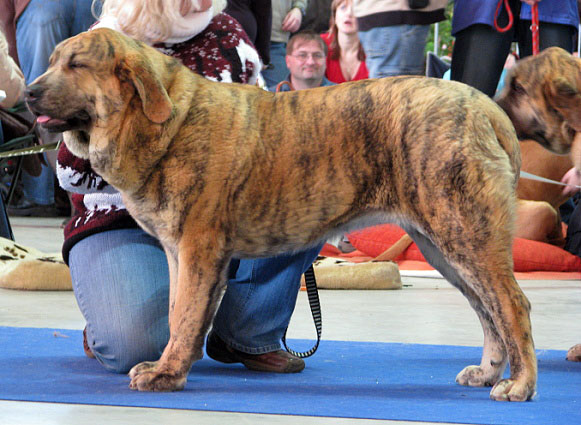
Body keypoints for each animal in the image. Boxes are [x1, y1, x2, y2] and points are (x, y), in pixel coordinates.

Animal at [26, 29, 536, 400]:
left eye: (76, 65)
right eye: (53, 62)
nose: (29, 92)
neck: (166, 122)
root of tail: (485, 108)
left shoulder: (197, 249)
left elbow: (186, 314)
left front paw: (167, 374)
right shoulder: (178, 252)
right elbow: (176, 314)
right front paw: (171, 365)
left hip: (464, 232)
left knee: (512, 305)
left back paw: (519, 385)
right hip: (442, 247)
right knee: (488, 309)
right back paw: (488, 373)